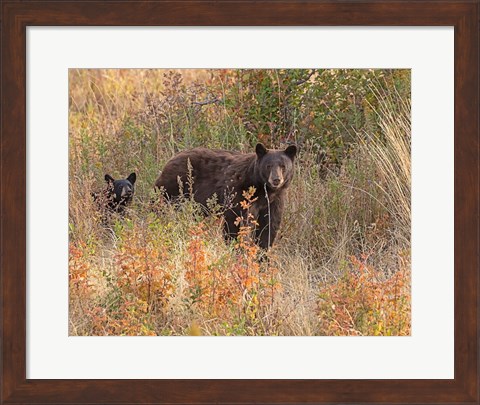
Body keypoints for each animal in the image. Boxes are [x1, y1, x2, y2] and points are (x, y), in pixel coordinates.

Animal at [155, 144, 296, 248]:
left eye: (283, 166)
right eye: (268, 166)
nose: (276, 179)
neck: (262, 189)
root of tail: (170, 160)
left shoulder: (273, 201)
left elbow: (269, 225)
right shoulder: (238, 193)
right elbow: (235, 221)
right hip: (173, 189)